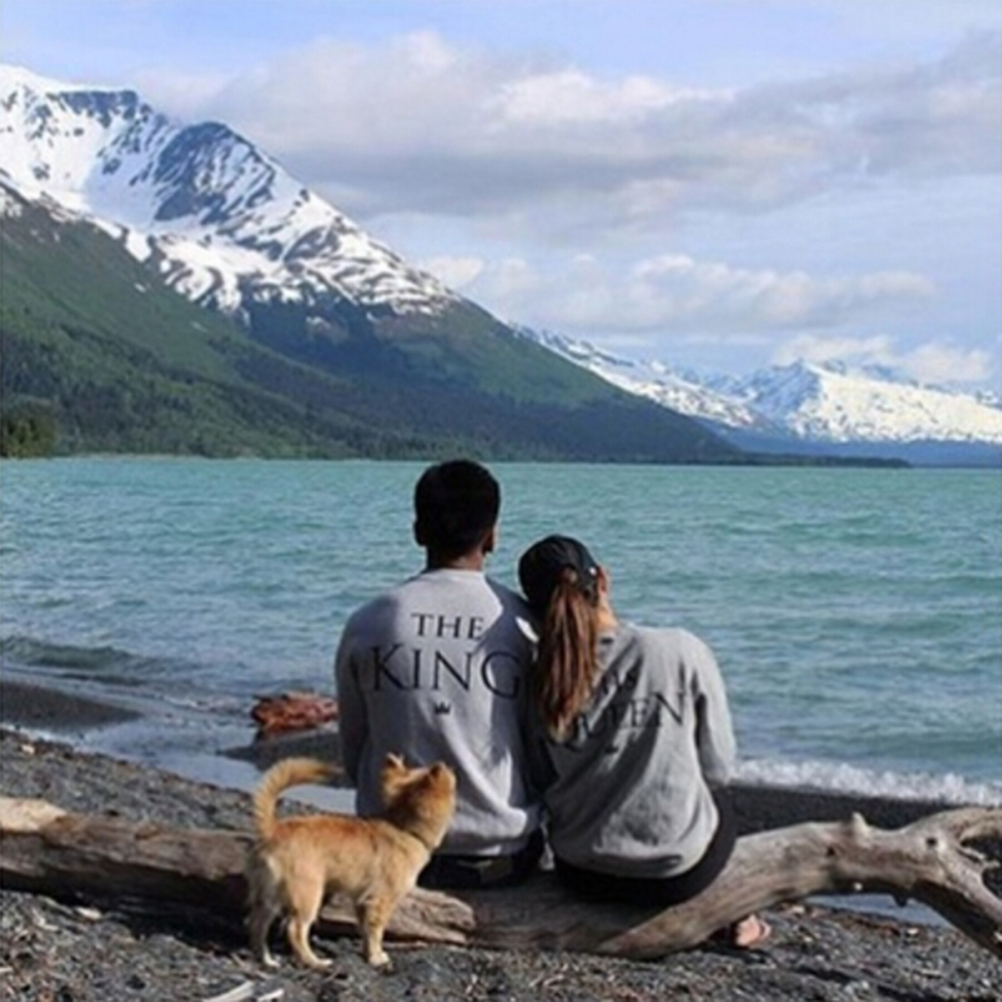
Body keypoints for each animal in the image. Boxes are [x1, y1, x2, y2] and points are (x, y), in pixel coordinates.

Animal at [245, 753, 456, 969]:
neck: (403, 827)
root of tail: (273, 830)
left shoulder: (363, 903)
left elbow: (365, 932)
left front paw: (368, 954)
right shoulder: (380, 901)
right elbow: (376, 933)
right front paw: (376, 958)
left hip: (268, 897)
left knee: (257, 924)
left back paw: (266, 959)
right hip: (307, 895)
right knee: (295, 929)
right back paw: (315, 962)